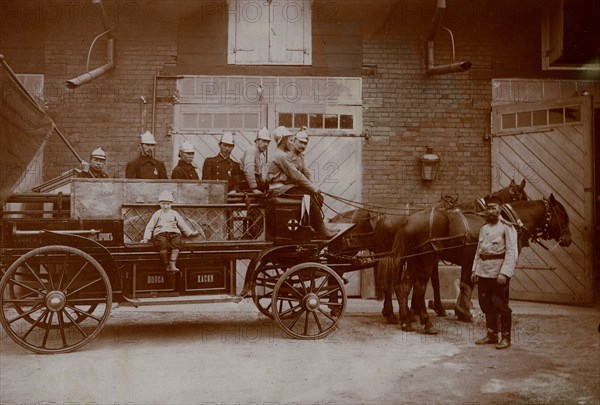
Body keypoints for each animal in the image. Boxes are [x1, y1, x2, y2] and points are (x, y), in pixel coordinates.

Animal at [384, 194, 572, 332]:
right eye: (562, 215)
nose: (568, 239)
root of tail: (408, 220)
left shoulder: (470, 262)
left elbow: (466, 284)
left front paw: (463, 312)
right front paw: (481, 315)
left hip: (414, 260)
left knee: (404, 287)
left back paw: (406, 320)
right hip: (427, 260)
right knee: (419, 289)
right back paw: (425, 323)